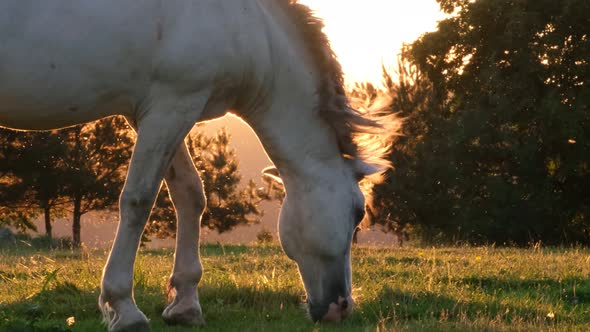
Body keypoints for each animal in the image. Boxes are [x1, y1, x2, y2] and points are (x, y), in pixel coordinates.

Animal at [0, 1, 398, 330]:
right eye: (359, 212)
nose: (341, 307)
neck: (245, 25)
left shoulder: (160, 110)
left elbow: (190, 195)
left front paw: (185, 304)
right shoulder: (172, 104)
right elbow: (139, 200)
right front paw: (123, 308)